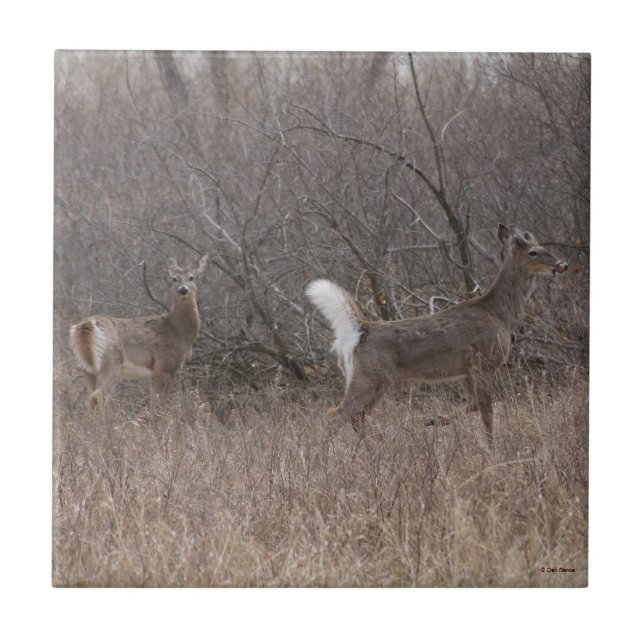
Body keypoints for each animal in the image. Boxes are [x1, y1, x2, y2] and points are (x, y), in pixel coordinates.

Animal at [69, 255, 208, 410]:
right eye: (174, 278)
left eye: (191, 277)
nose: (183, 290)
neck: (178, 329)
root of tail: (84, 326)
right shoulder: (164, 366)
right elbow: (159, 405)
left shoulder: (154, 373)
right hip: (112, 363)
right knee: (99, 397)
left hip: (87, 368)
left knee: (90, 398)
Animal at [305, 224, 568, 448]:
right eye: (534, 252)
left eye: (542, 246)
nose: (561, 264)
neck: (500, 315)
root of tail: (360, 330)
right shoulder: (483, 362)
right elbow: (487, 413)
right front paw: (491, 449)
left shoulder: (465, 370)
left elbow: (474, 405)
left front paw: (433, 420)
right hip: (369, 377)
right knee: (336, 415)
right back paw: (323, 458)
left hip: (376, 380)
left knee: (356, 417)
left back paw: (367, 452)